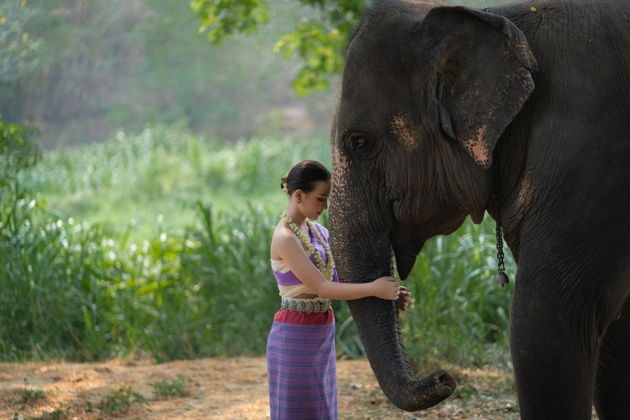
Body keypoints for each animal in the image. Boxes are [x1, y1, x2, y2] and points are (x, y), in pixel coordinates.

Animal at [330, 0, 630, 420]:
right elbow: (618, 326)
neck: (500, 16)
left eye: (359, 142)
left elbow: (549, 318)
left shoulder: (594, 148)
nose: (444, 378)